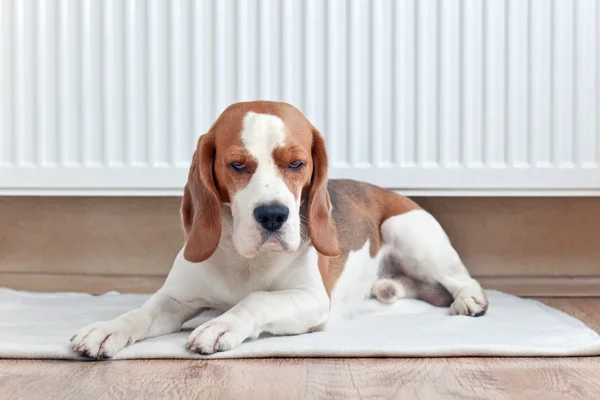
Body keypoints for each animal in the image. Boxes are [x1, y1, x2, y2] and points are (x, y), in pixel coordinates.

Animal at [72, 101, 490, 358]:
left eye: (297, 164)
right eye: (237, 165)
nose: (273, 215)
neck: (243, 261)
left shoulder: (311, 299)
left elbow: (258, 300)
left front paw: (221, 325)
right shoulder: (174, 300)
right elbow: (139, 314)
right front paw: (106, 329)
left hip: (409, 232)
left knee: (460, 278)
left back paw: (469, 300)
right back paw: (387, 288)